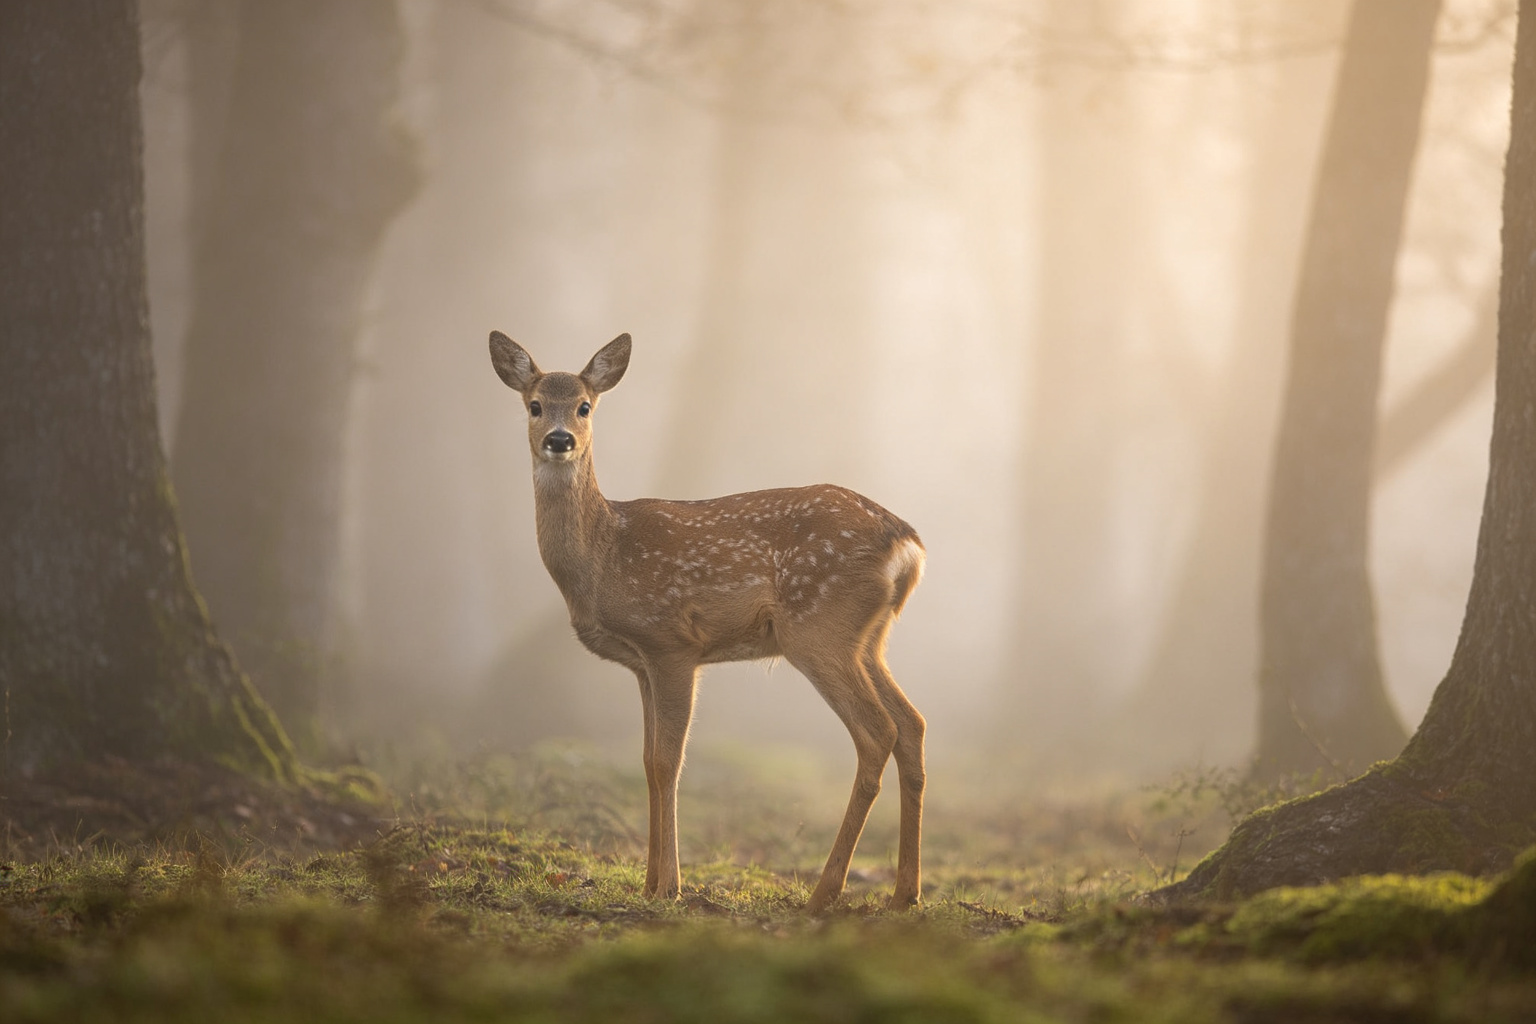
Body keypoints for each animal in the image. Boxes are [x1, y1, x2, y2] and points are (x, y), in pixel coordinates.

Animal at [488, 331, 927, 913]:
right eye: (534, 405)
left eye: (585, 406)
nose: (560, 440)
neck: (603, 556)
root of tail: (907, 544)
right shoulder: (640, 663)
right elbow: (647, 761)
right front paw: (649, 883)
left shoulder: (671, 641)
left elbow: (668, 761)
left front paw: (670, 887)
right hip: (869, 638)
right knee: (912, 725)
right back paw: (904, 894)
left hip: (819, 629)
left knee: (878, 731)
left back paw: (824, 892)